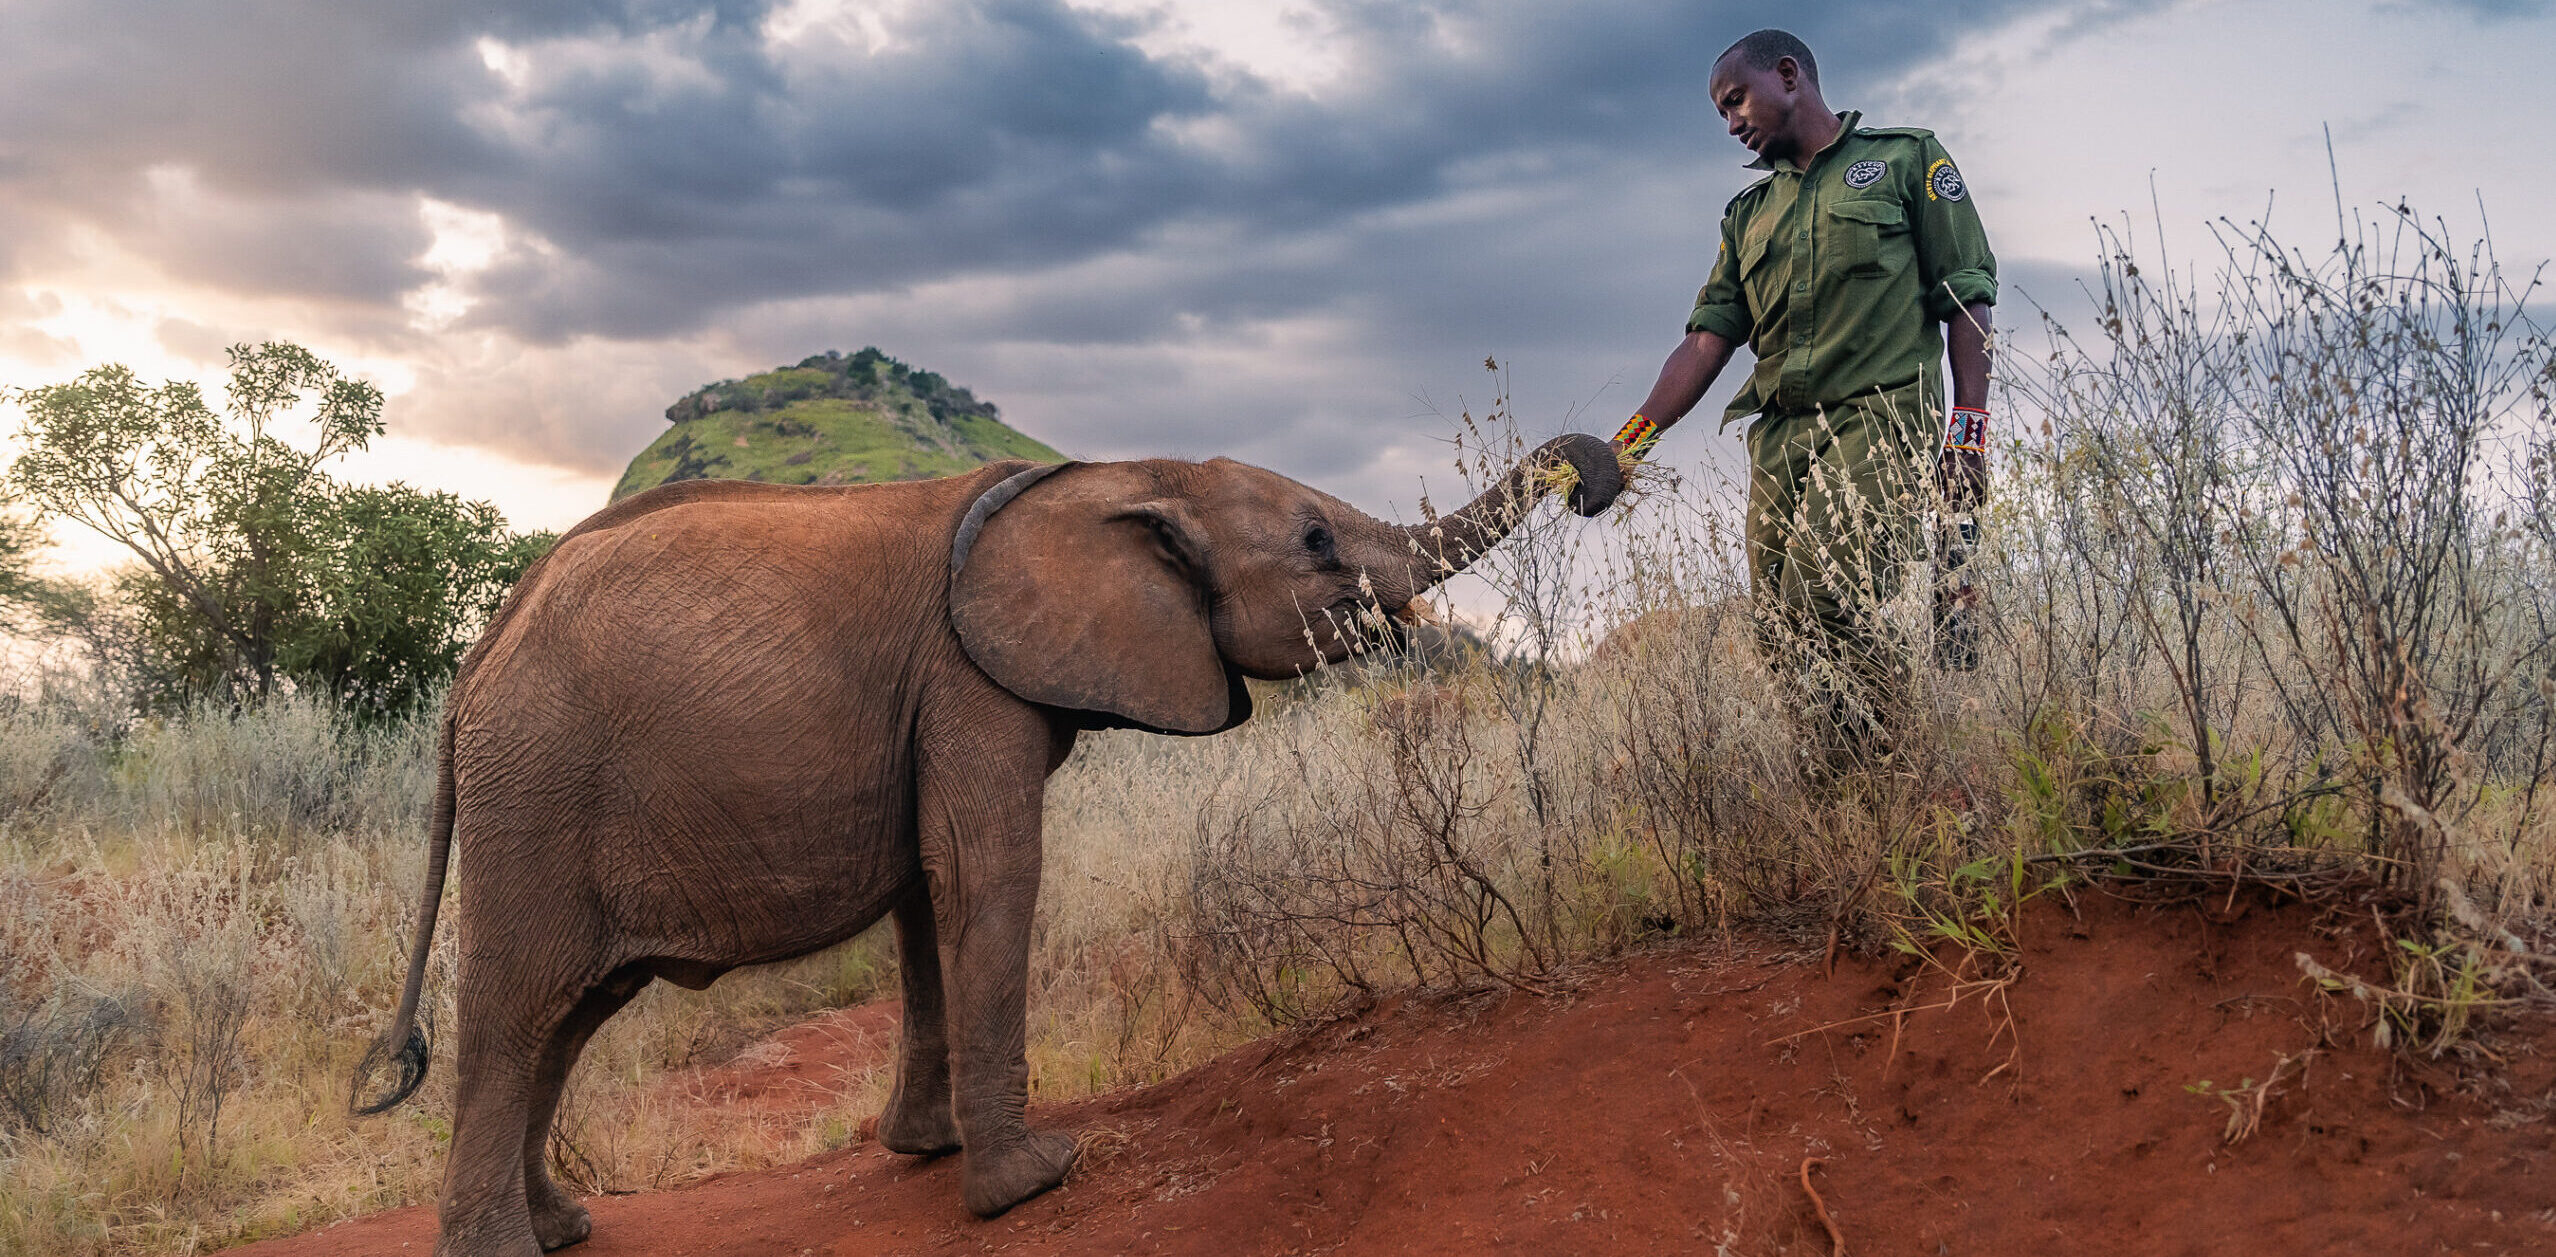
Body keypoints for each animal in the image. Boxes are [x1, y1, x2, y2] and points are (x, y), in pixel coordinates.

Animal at [353, 434, 1623, 1255]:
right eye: (1313, 538)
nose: (1596, 479)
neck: (1120, 474)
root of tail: (472, 667)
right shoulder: (970, 682)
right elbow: (988, 874)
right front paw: (1029, 1182)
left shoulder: (936, 705)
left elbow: (932, 893)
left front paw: (924, 1150)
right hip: (539, 791)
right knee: (520, 1009)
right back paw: (503, 1252)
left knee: (570, 1018)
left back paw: (565, 1230)